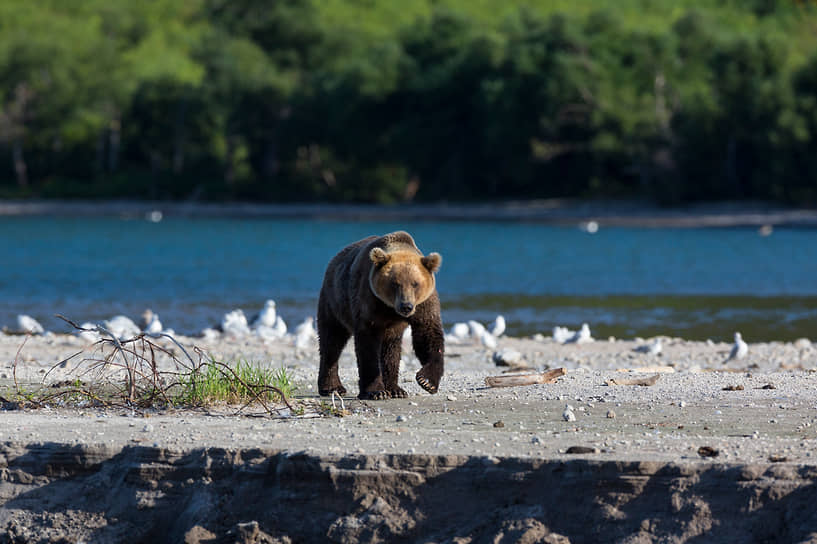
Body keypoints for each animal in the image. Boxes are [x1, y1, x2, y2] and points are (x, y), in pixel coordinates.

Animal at [317, 231, 445, 400]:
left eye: (415, 283)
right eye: (395, 283)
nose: (406, 306)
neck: (390, 308)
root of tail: (334, 260)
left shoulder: (424, 304)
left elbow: (428, 335)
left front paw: (427, 381)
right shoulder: (370, 300)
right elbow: (368, 345)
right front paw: (375, 391)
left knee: (391, 351)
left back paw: (396, 389)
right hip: (334, 301)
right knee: (332, 341)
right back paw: (332, 387)